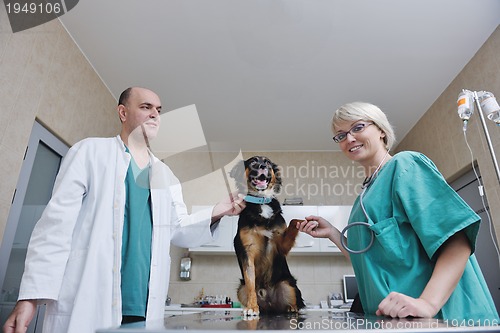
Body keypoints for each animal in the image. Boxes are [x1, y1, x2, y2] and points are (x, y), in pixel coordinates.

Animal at [230, 154, 304, 316]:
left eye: (268, 162)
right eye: (252, 162)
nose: (262, 167)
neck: (261, 200)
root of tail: (270, 305)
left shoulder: (281, 245)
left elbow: (293, 222)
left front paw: (304, 222)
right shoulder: (247, 251)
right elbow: (250, 283)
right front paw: (252, 307)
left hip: (287, 283)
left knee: (293, 301)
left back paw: (292, 308)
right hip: (240, 289)